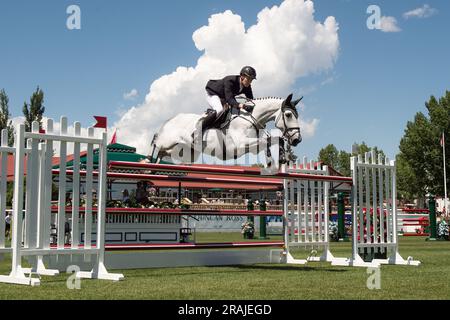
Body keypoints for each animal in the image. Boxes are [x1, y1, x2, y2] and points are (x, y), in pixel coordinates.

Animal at [150, 92, 302, 165]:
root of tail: (171, 119)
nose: (297, 140)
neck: (250, 118)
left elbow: (274, 139)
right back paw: (148, 160)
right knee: (156, 143)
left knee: (164, 153)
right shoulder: (240, 145)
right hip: (167, 141)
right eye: (288, 115)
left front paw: (283, 157)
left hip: (186, 152)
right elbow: (269, 140)